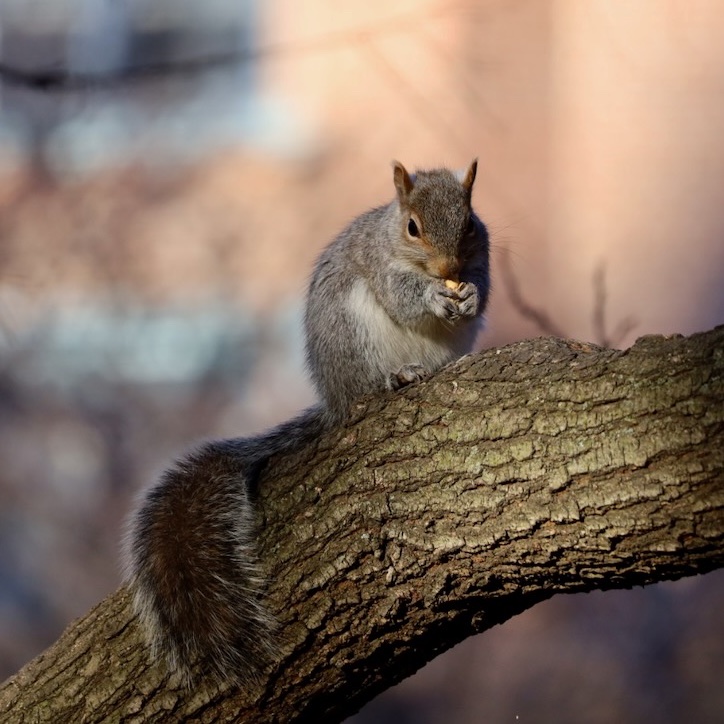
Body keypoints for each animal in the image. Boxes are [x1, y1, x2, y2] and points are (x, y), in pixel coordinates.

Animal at [124, 159, 490, 686]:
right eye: (412, 228)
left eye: (470, 224)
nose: (449, 273)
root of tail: (334, 401)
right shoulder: (380, 264)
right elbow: (402, 295)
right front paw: (433, 297)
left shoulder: (482, 254)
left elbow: (484, 281)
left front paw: (471, 294)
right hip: (352, 339)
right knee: (367, 385)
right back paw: (396, 377)